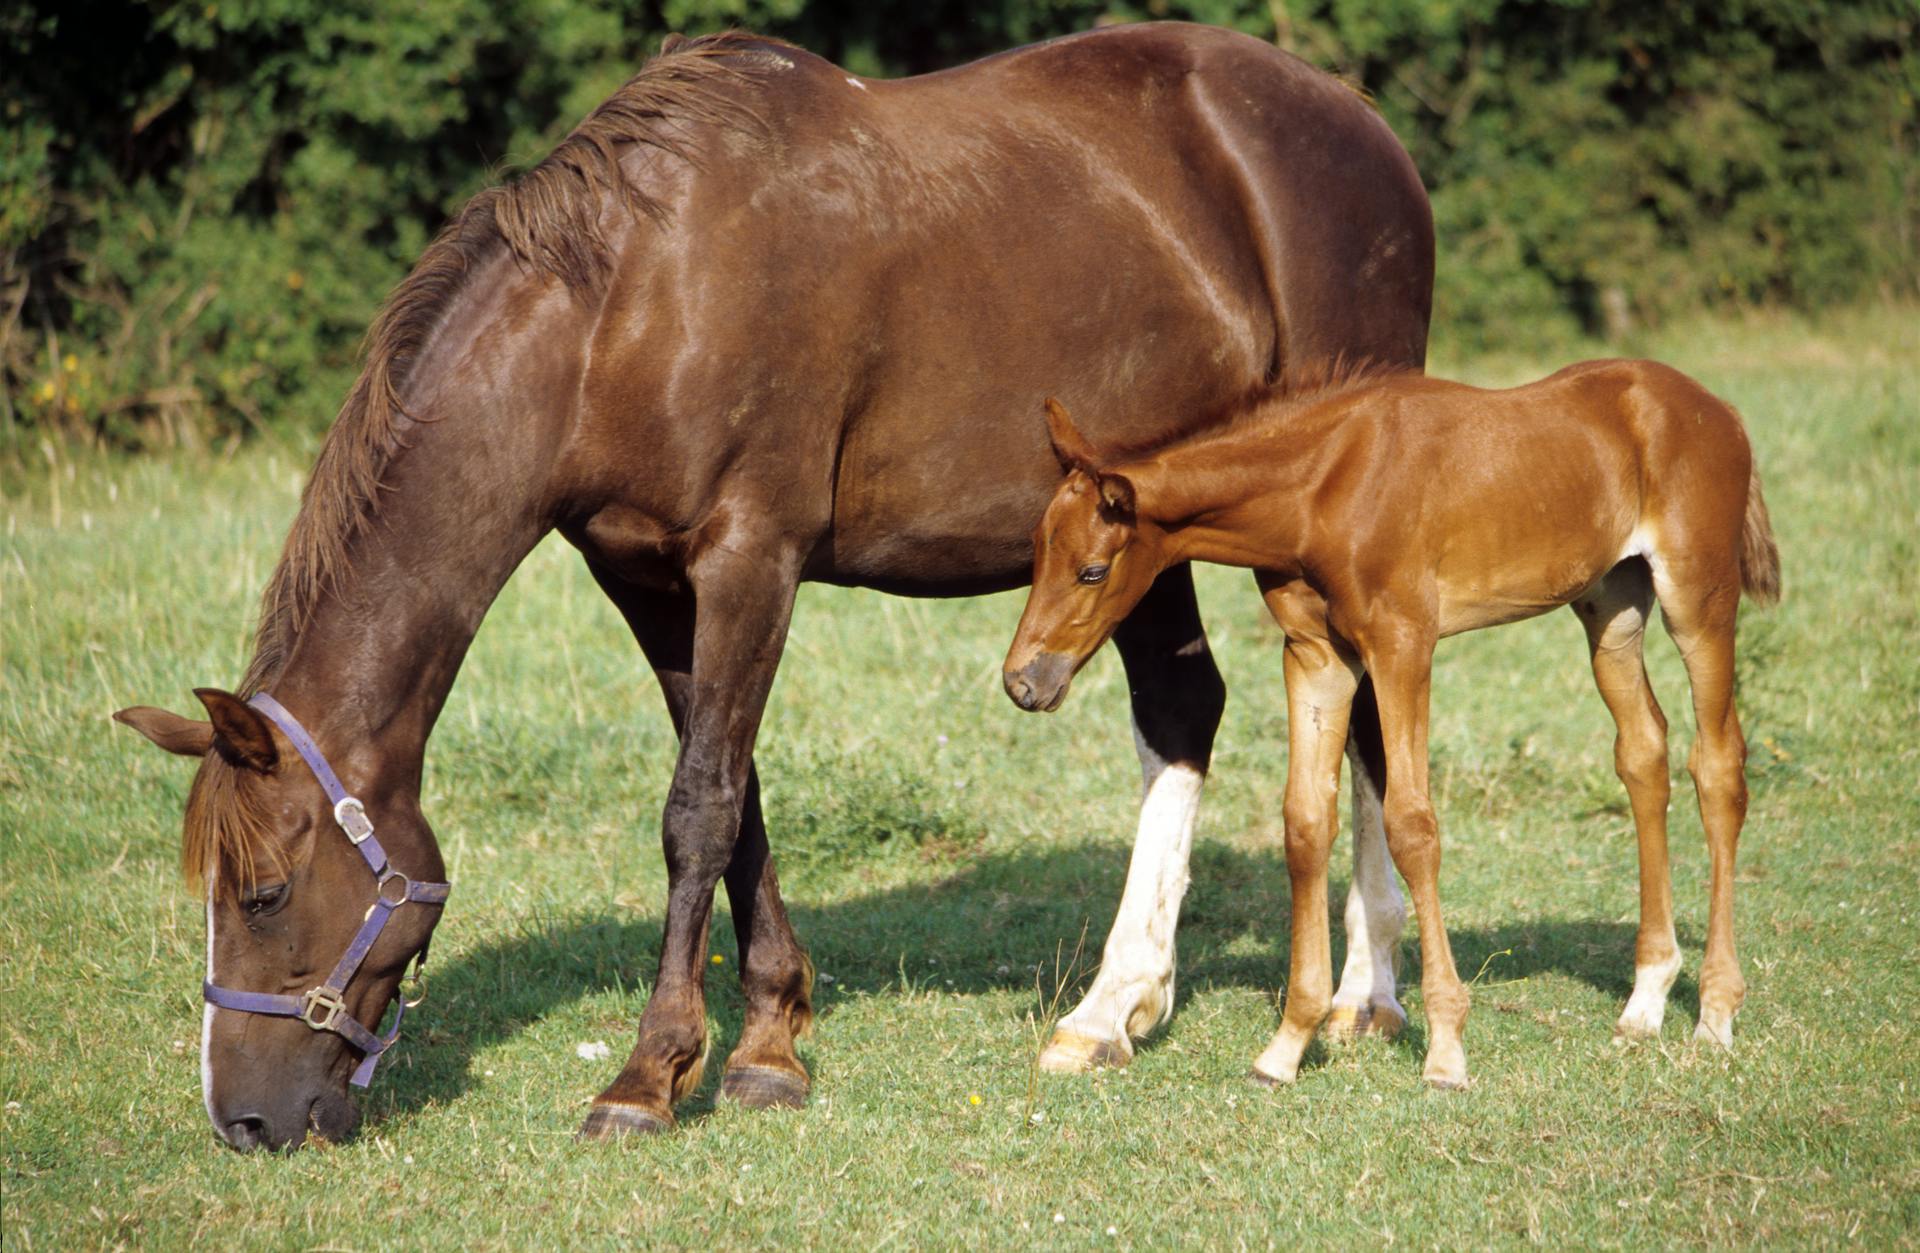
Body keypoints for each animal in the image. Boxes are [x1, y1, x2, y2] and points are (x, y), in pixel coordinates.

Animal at [108, 21, 1428, 1151]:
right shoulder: (645, 576)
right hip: (1136, 529)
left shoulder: (753, 557)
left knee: (1363, 706)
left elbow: (695, 807)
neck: (628, 304)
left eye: (266, 892)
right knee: (1185, 710)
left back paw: (1366, 995)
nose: (244, 1118)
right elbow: (730, 792)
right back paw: (1116, 1006)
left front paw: (648, 1075)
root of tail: (1362, 124)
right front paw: (769, 1042)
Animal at [1006, 360, 1781, 1082]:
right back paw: (1645, 1003)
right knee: (1644, 752)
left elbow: (1412, 824)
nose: (1024, 681)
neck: (1325, 486)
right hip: (1611, 606)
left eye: (1093, 570)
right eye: (1037, 551)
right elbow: (1304, 824)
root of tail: (1722, 410)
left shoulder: (1403, 643)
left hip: (1699, 598)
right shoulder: (1316, 655)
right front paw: (1287, 1046)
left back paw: (1714, 1016)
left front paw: (1445, 1050)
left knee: (1718, 766)